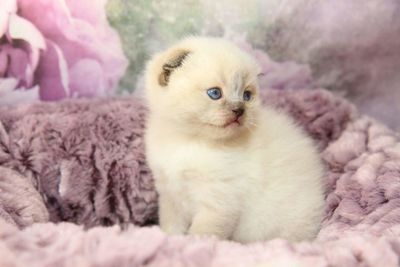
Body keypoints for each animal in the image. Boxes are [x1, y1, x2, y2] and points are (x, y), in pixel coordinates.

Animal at [145, 36, 324, 244]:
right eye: (215, 93)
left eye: (247, 96)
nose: (239, 110)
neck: (188, 140)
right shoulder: (170, 194)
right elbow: (171, 226)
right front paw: (169, 241)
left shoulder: (218, 203)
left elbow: (201, 233)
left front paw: (190, 245)